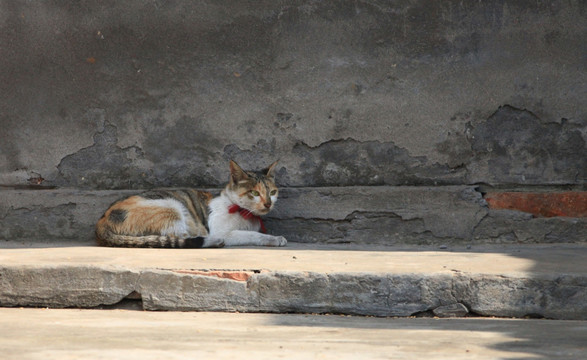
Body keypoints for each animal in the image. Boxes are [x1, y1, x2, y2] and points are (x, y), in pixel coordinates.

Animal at [95, 160, 288, 248]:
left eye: (272, 192)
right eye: (254, 193)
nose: (268, 204)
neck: (244, 212)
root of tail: (101, 222)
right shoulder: (222, 230)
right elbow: (252, 235)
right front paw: (275, 239)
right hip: (171, 207)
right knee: (180, 238)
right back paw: (214, 241)